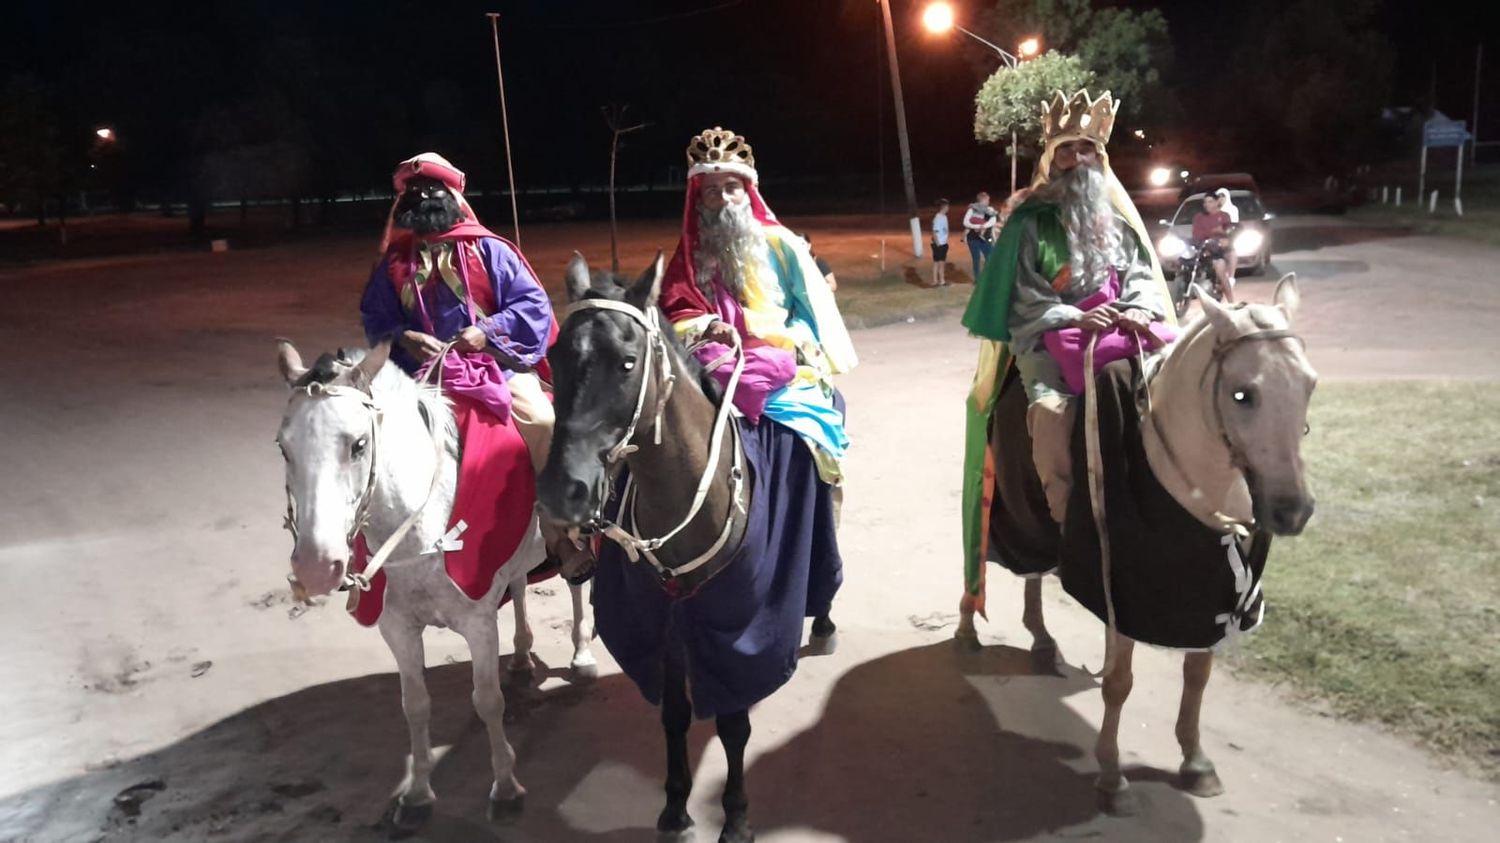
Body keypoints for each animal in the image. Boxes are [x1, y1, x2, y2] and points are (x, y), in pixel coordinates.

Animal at [273, 342, 594, 828]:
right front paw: (418, 793)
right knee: (520, 585)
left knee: (577, 589)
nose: (315, 565)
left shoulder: (479, 623)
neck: (423, 524)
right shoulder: (398, 627)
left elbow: (488, 700)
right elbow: (415, 704)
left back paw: (581, 653)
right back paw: (521, 656)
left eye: (358, 444)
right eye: (283, 447)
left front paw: (505, 787)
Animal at [540, 256, 846, 840]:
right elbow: (675, 715)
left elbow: (732, 723)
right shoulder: (668, 625)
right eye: (553, 358)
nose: (562, 489)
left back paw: (822, 619)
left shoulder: (732, 628)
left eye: (628, 362)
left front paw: (736, 814)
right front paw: (676, 807)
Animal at [954, 277, 1320, 816]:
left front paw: (1196, 762)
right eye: (1242, 394)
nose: (1292, 511)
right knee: (980, 562)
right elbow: (1118, 683)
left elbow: (1197, 675)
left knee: (1035, 575)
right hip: (1000, 502)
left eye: (1310, 385)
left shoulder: (1205, 595)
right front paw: (1112, 777)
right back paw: (966, 630)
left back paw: (1041, 641)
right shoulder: (1120, 588)